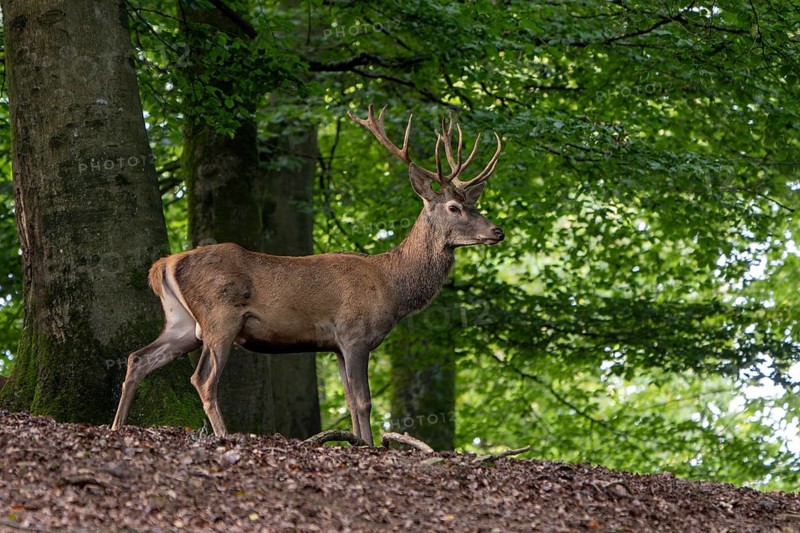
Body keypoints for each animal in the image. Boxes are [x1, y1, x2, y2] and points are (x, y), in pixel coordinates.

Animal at [111, 105, 504, 445]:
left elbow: (350, 401)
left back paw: (117, 425)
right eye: (454, 207)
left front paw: (357, 442)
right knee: (203, 378)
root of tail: (163, 265)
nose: (497, 231)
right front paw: (371, 446)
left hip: (182, 323)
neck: (393, 287)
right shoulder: (355, 332)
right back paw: (224, 434)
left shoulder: (336, 344)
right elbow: (364, 400)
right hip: (219, 316)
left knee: (138, 358)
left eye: (474, 204)